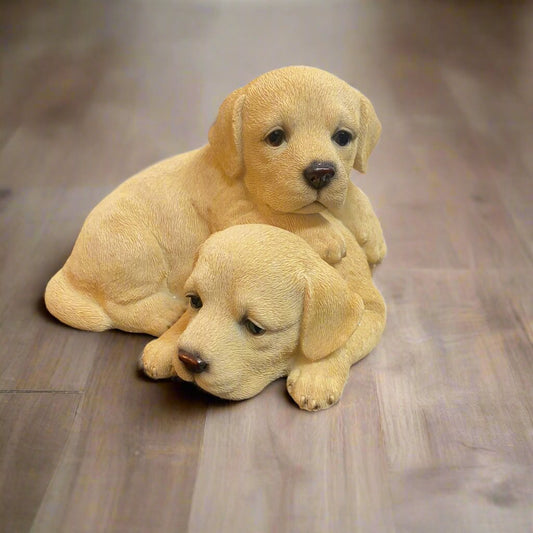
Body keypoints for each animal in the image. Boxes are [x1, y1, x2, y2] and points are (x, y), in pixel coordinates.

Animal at [45, 64, 384, 334]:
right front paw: (325, 234)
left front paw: (371, 234)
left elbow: (352, 192)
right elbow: (280, 215)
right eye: (275, 137)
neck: (244, 177)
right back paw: (165, 313)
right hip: (135, 249)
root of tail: (68, 269)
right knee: (118, 307)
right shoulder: (236, 213)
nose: (320, 172)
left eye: (343, 137)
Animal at [139, 218, 384, 410]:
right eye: (195, 301)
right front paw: (165, 345)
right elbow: (184, 321)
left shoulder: (373, 310)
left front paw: (317, 374)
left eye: (255, 328)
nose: (188, 359)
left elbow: (343, 341)